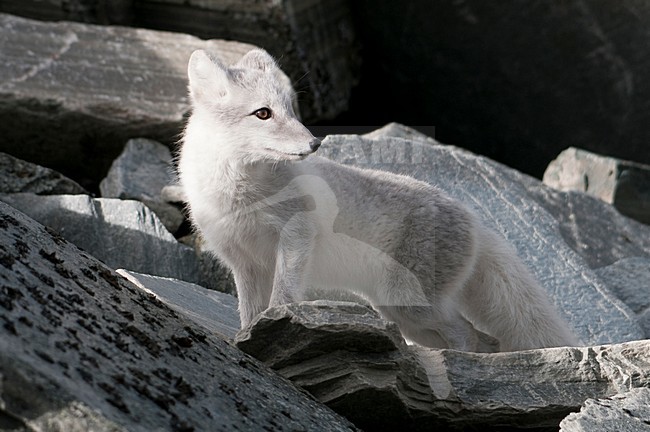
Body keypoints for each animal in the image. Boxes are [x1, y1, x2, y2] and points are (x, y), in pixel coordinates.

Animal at [178, 48, 579, 352]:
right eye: (263, 113)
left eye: (291, 109)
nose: (315, 143)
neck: (237, 194)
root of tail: (475, 218)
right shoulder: (244, 263)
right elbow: (248, 311)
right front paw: (245, 338)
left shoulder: (296, 236)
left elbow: (282, 298)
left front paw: (269, 329)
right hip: (401, 315)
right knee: (486, 340)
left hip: (409, 304)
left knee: (469, 335)